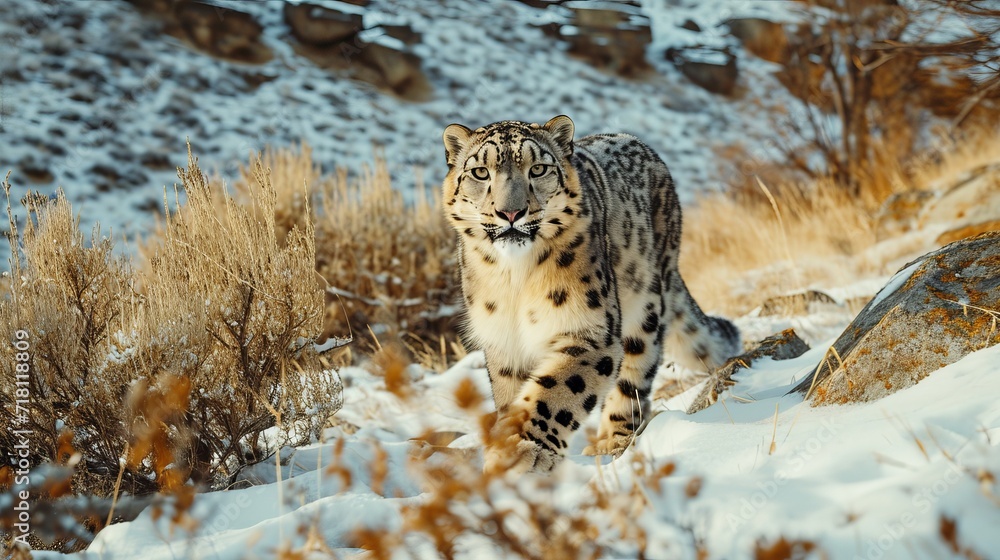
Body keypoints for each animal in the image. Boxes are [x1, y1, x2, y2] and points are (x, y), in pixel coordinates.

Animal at [440, 115, 741, 474]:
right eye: (480, 172)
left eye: (538, 169)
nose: (510, 213)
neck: (515, 277)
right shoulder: (504, 341)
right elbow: (513, 393)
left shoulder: (590, 329)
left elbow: (556, 390)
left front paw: (525, 450)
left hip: (644, 304)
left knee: (634, 373)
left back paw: (612, 441)